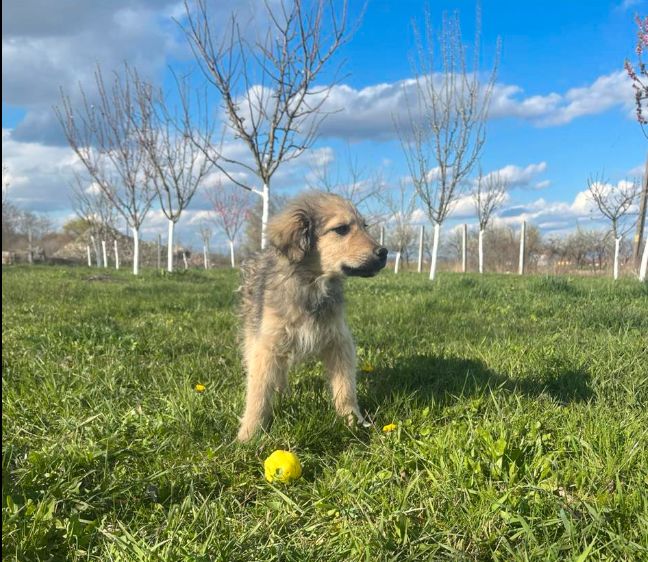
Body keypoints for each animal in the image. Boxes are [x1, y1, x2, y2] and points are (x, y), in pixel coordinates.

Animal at [238, 190, 390, 440]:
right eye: (341, 229)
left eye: (364, 226)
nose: (384, 252)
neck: (312, 286)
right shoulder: (267, 345)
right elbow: (258, 392)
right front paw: (248, 435)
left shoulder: (339, 341)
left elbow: (345, 387)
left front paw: (352, 421)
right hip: (255, 333)